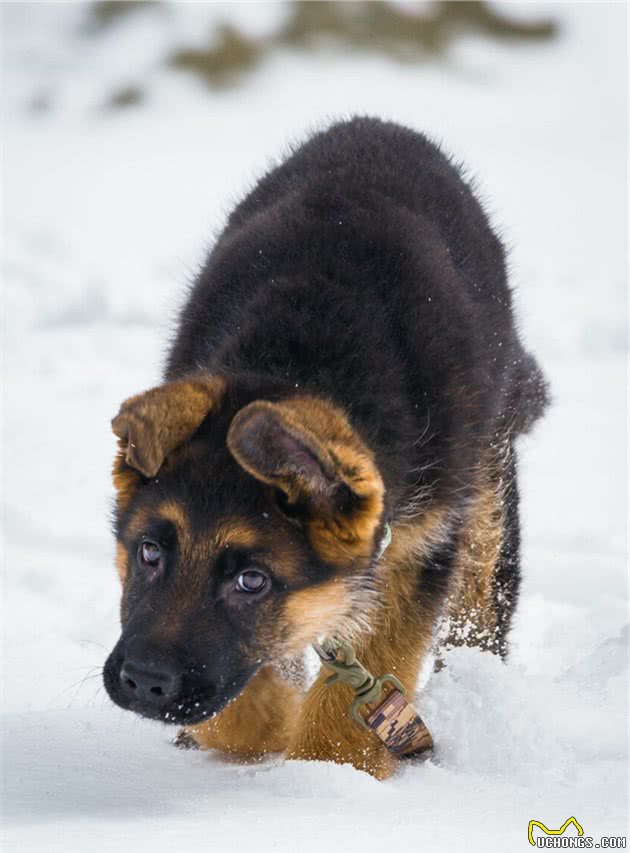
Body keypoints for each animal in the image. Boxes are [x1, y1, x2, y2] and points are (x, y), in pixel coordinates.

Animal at [103, 118, 548, 780]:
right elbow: (242, 706)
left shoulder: (419, 547)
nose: (143, 682)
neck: (296, 364)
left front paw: (325, 777)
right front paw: (271, 726)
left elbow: (359, 681)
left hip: (480, 487)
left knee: (483, 597)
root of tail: (380, 124)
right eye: (149, 552)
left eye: (253, 581)